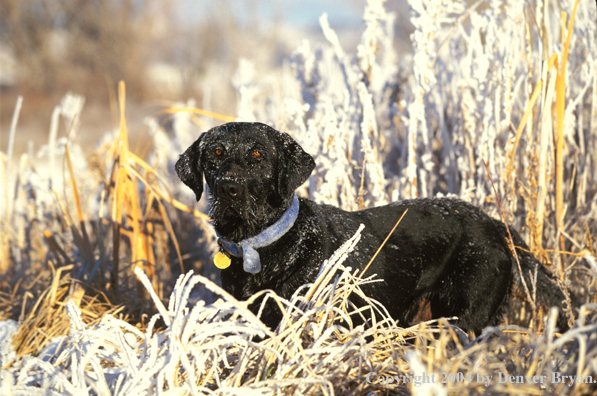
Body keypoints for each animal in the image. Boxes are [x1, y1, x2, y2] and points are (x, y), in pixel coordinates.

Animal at [175, 121, 572, 334]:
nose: (230, 188)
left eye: (258, 155)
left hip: (463, 313)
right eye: (215, 153)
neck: (260, 247)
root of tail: (493, 223)